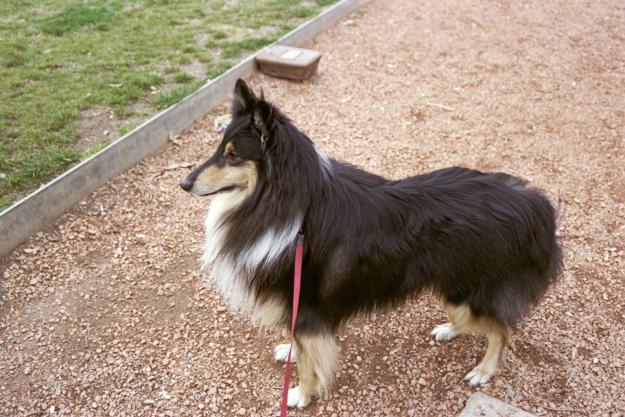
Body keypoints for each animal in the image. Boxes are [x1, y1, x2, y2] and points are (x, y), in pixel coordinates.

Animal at [179, 78, 560, 406]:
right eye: (219, 148)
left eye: (233, 155)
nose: (184, 183)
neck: (288, 205)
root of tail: (530, 203)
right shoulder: (301, 310)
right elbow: (302, 348)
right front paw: (289, 353)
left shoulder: (305, 304)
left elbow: (308, 362)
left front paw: (301, 395)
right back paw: (449, 330)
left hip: (465, 291)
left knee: (502, 330)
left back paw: (483, 371)